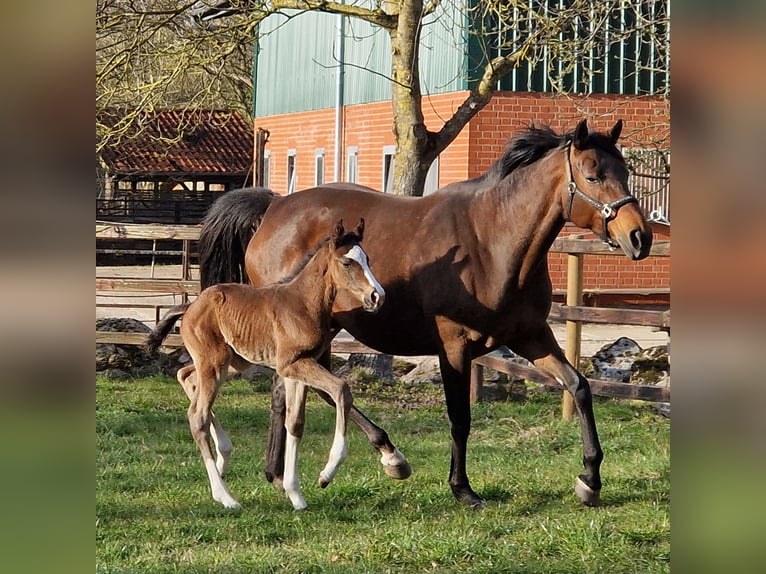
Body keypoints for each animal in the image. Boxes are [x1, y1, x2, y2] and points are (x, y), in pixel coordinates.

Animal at [145, 219, 386, 510]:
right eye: (347, 263)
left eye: (368, 259)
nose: (377, 296)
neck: (303, 303)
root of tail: (190, 306)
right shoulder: (293, 364)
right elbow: (341, 389)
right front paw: (326, 474)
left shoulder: (297, 368)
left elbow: (295, 423)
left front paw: (296, 495)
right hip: (214, 362)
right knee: (197, 416)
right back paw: (225, 496)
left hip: (230, 362)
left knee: (186, 376)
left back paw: (224, 456)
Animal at [198, 119, 653, 509]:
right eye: (593, 176)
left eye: (625, 171)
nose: (639, 237)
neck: (491, 242)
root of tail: (274, 207)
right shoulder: (454, 347)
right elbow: (460, 417)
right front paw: (463, 489)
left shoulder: (531, 335)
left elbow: (579, 387)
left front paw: (589, 480)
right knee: (316, 391)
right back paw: (386, 457)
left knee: (297, 393)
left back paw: (281, 474)